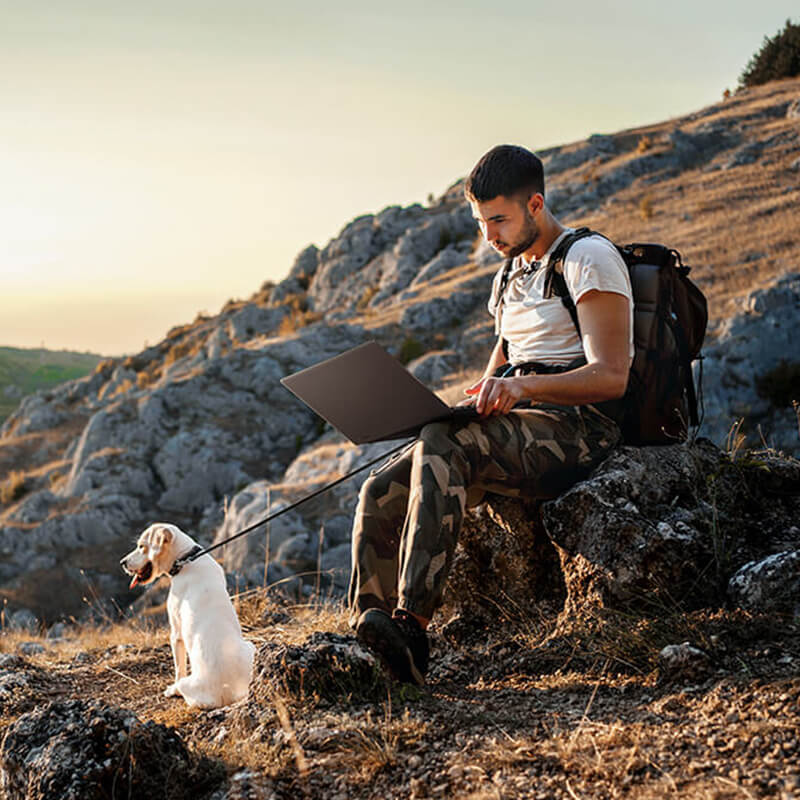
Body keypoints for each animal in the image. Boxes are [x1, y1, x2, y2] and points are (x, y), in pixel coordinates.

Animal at [119, 524, 255, 708]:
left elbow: (179, 668)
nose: (122, 563)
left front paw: (172, 688)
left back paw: (174, 690)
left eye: (141, 546)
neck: (185, 559)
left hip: (188, 683)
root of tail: (229, 691)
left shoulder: (176, 634)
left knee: (182, 684)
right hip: (251, 647)